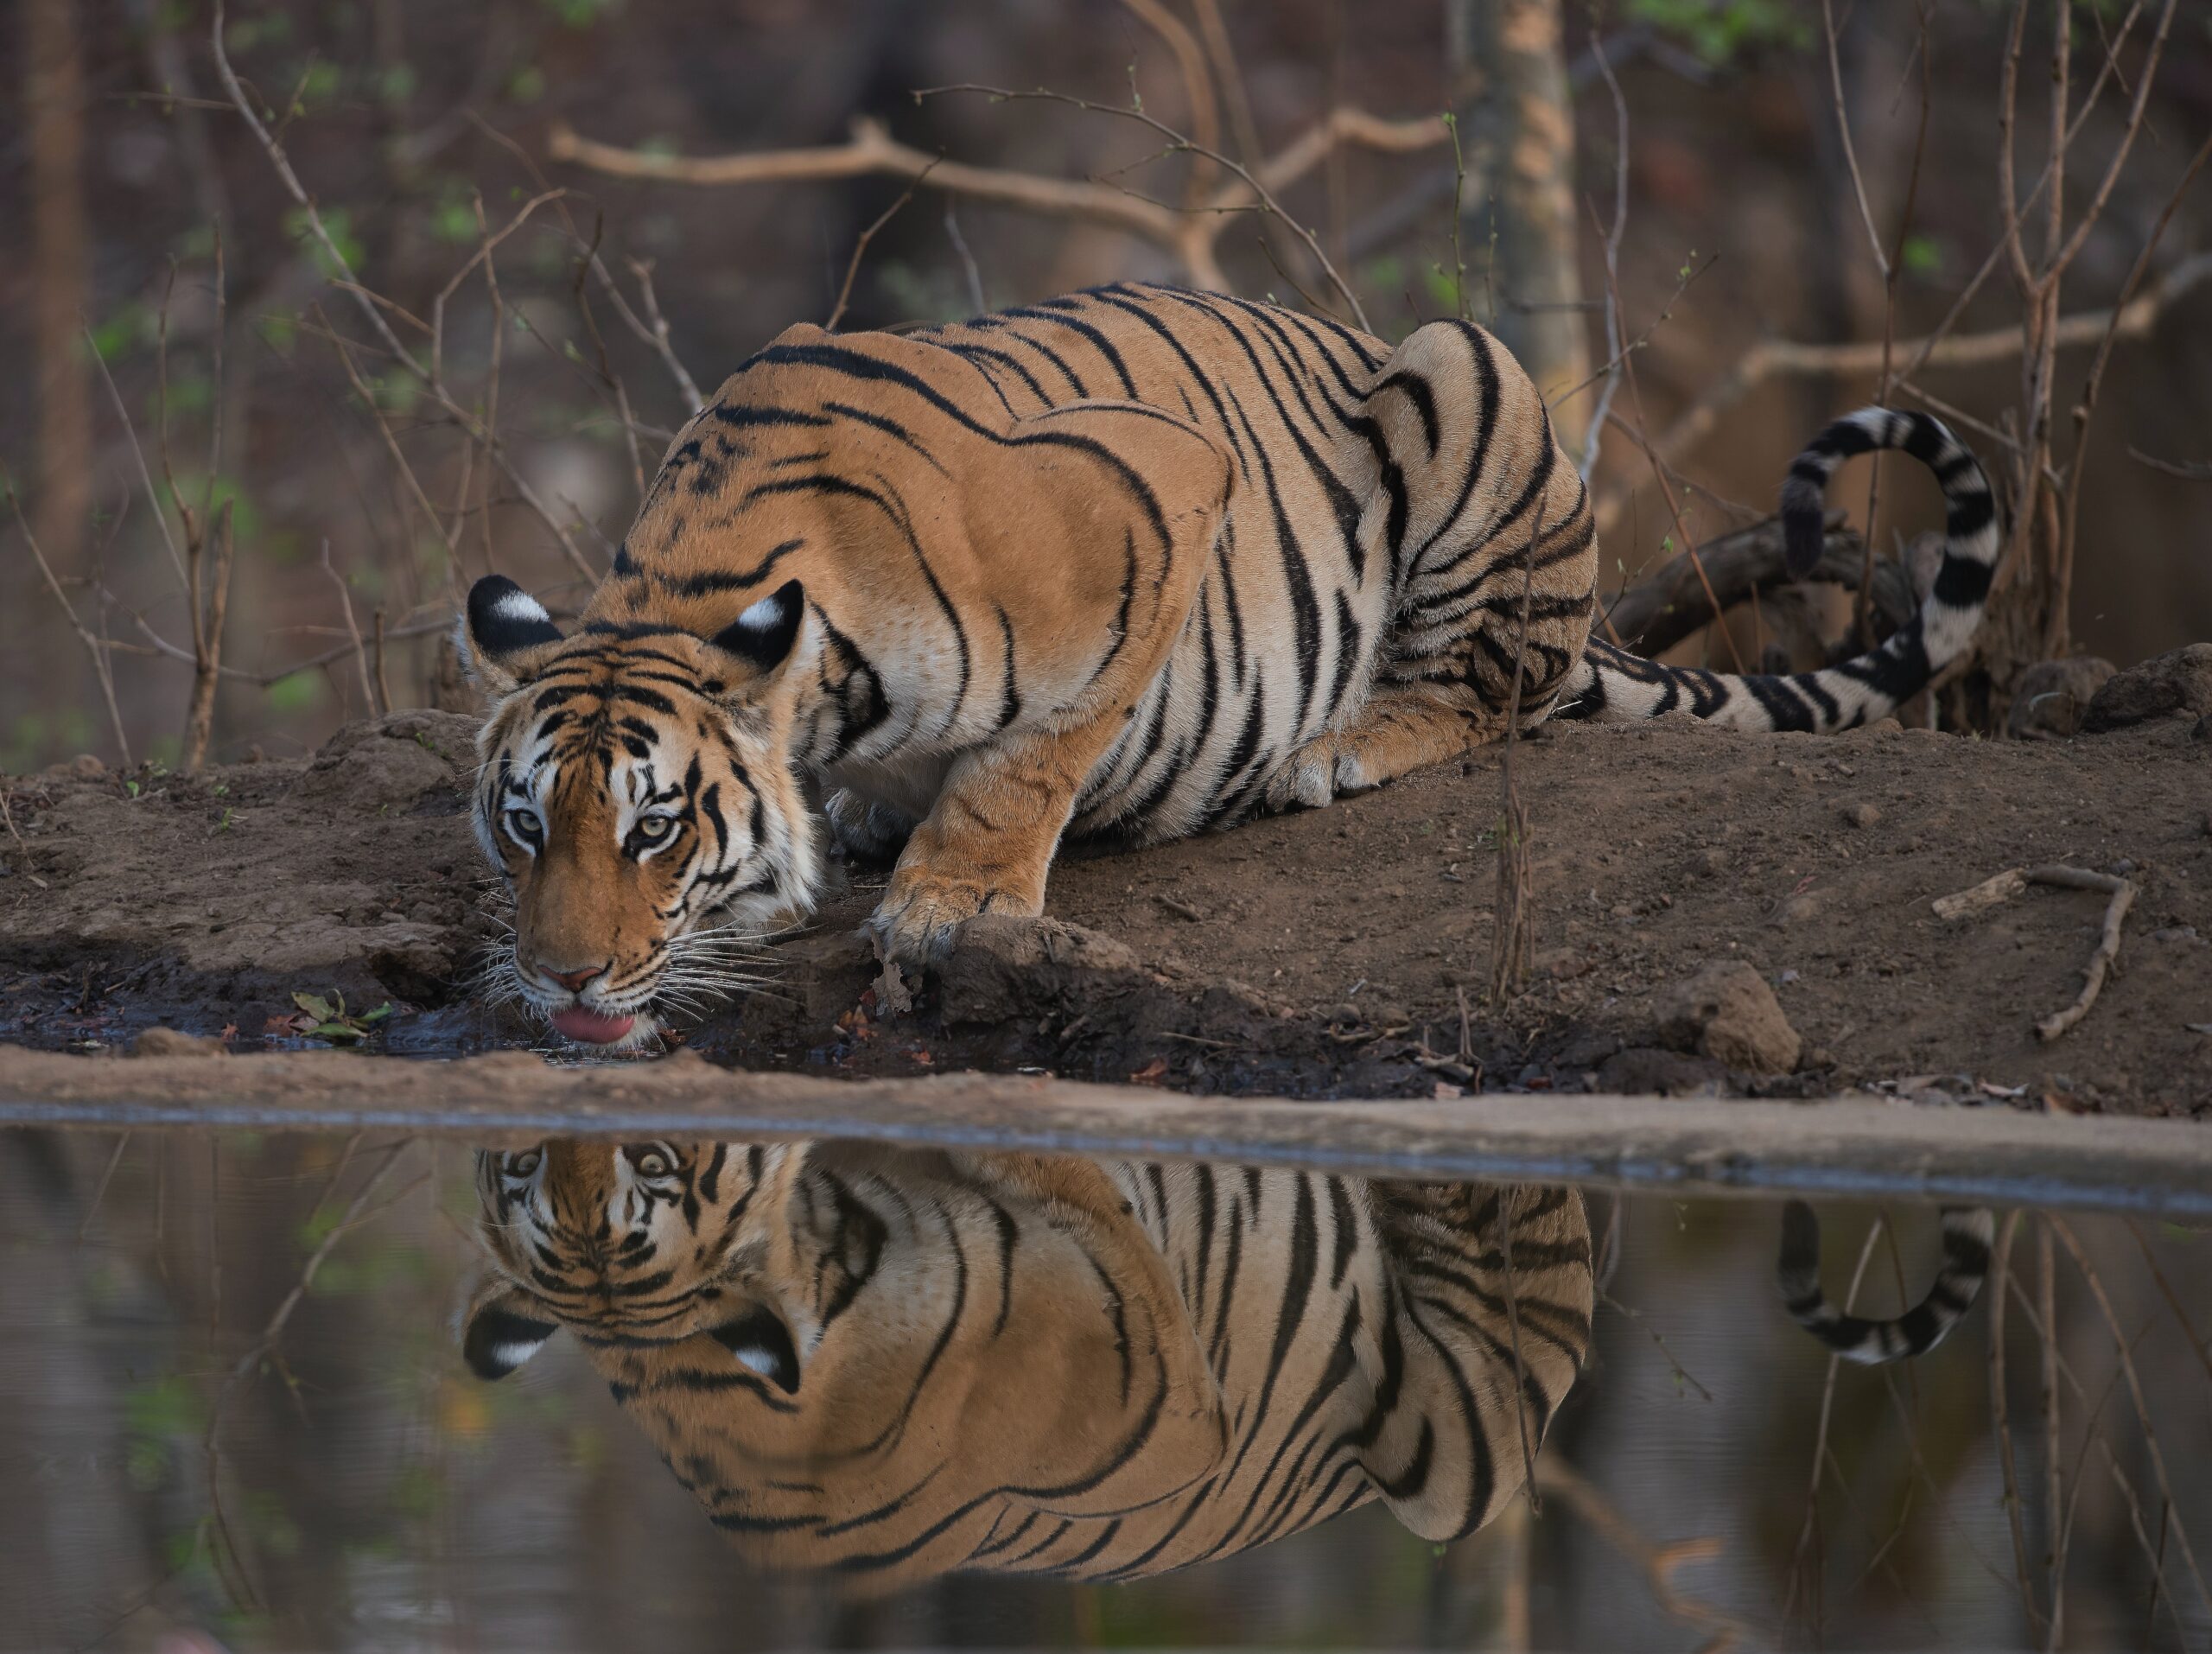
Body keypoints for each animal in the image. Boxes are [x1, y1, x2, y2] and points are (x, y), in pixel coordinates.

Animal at [462, 277, 2008, 1039]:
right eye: (525, 825)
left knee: (1494, 689)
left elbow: (1032, 757)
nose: (561, 983)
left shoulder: (1155, 495)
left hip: (1464, 373)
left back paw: (1344, 745)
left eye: (657, 827)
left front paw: (951, 901)